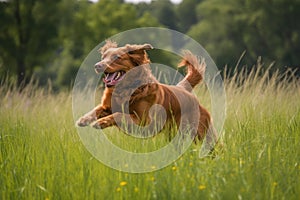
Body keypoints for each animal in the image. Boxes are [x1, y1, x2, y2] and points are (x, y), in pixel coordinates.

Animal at [75, 40, 216, 144]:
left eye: (116, 57)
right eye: (103, 57)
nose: (97, 66)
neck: (126, 90)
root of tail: (183, 88)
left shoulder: (145, 121)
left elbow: (119, 115)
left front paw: (100, 122)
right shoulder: (107, 106)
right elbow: (97, 109)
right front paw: (83, 120)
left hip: (202, 133)